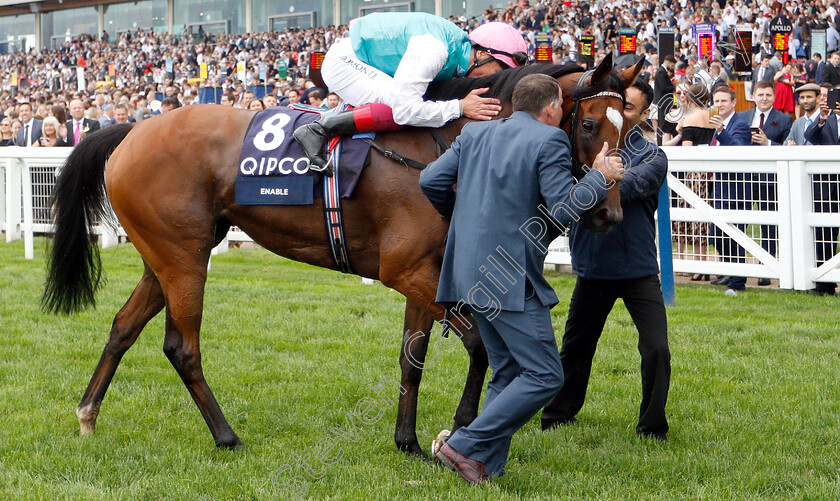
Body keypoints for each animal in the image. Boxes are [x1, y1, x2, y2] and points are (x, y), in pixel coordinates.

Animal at [41, 55, 644, 458]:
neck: (445, 145)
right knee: (181, 347)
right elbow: (476, 346)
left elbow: (412, 355)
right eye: (590, 124)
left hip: (166, 254)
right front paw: (456, 429)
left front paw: (408, 440)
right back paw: (226, 436)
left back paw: (88, 415)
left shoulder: (424, 271)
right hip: (183, 257)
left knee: (123, 326)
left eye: (634, 128)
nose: (609, 215)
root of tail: (130, 129)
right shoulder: (403, 269)